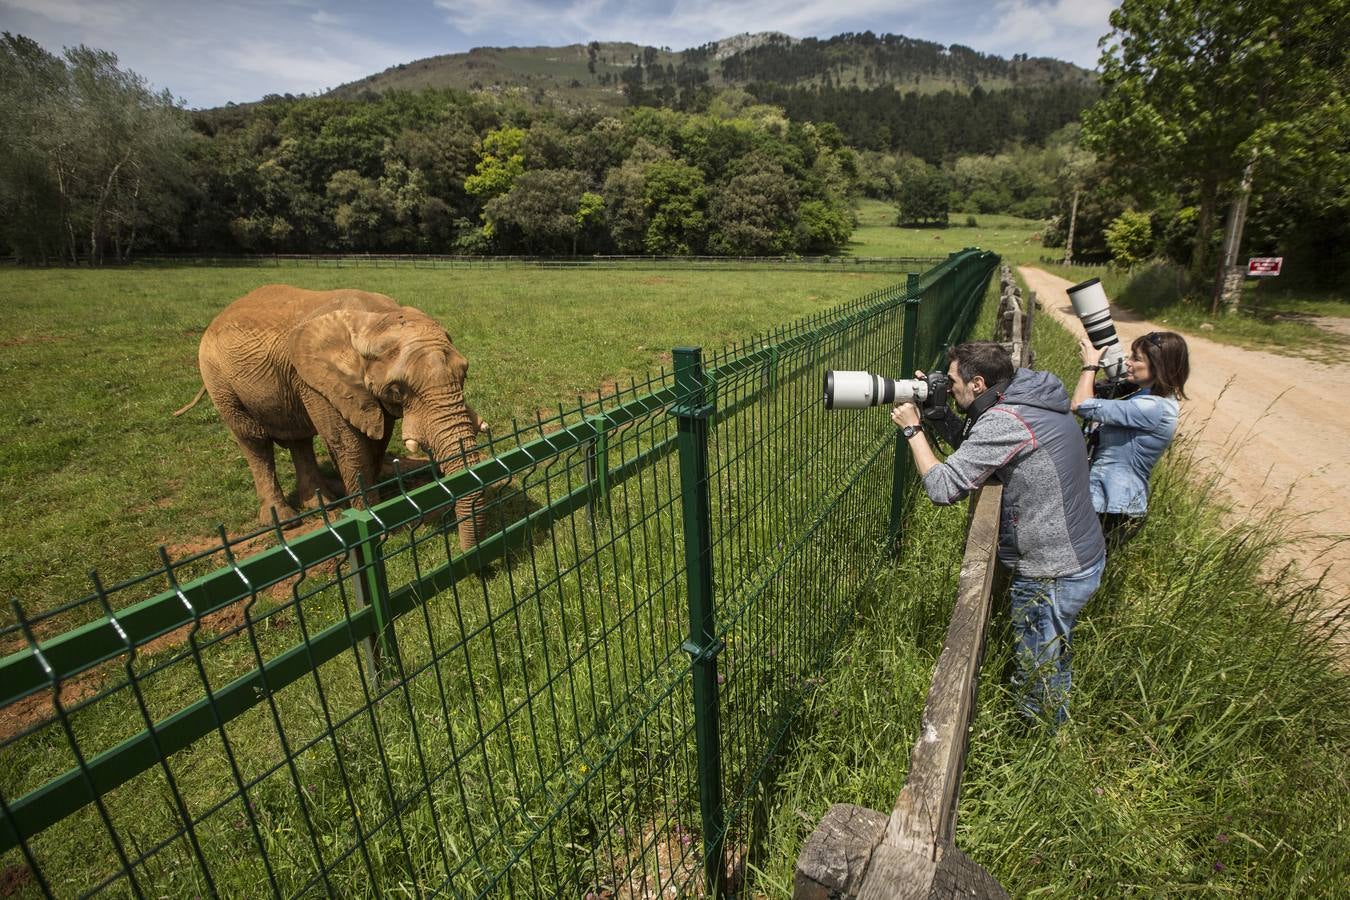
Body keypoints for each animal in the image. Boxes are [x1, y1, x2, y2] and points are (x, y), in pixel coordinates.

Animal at [178, 284, 491, 545]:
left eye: (464, 374)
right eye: (398, 390)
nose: (466, 553)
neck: (375, 319)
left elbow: (377, 438)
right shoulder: (320, 381)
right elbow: (349, 445)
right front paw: (376, 528)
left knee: (299, 439)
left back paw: (324, 502)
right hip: (220, 381)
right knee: (253, 441)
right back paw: (285, 519)